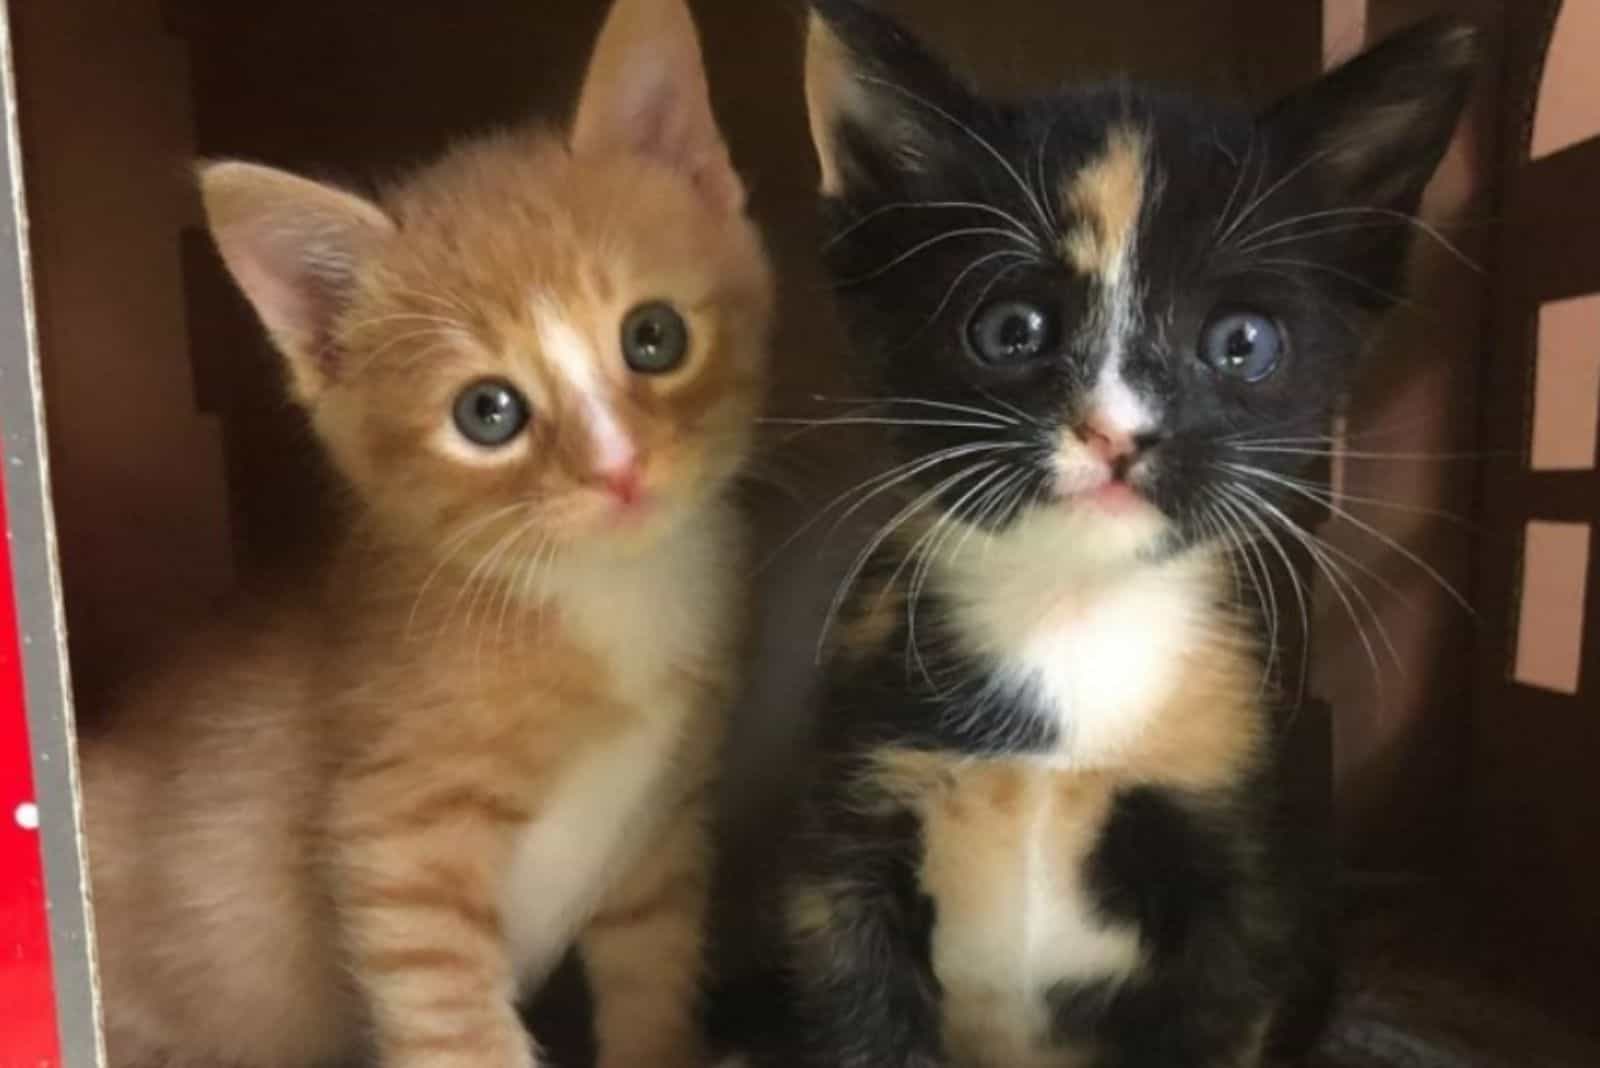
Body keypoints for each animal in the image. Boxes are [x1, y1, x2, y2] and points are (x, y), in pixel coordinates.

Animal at [81, 2, 774, 1068]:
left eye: (653, 336)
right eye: (488, 412)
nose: (618, 470)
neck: (605, 592)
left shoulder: (660, 840)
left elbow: (652, 981)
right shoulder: (398, 849)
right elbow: (455, 1026)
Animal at [761, 2, 1472, 1068]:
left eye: (1244, 344)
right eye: (1011, 329)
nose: (1117, 431)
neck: (1070, 612)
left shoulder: (1239, 868)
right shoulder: (840, 852)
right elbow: (857, 1012)